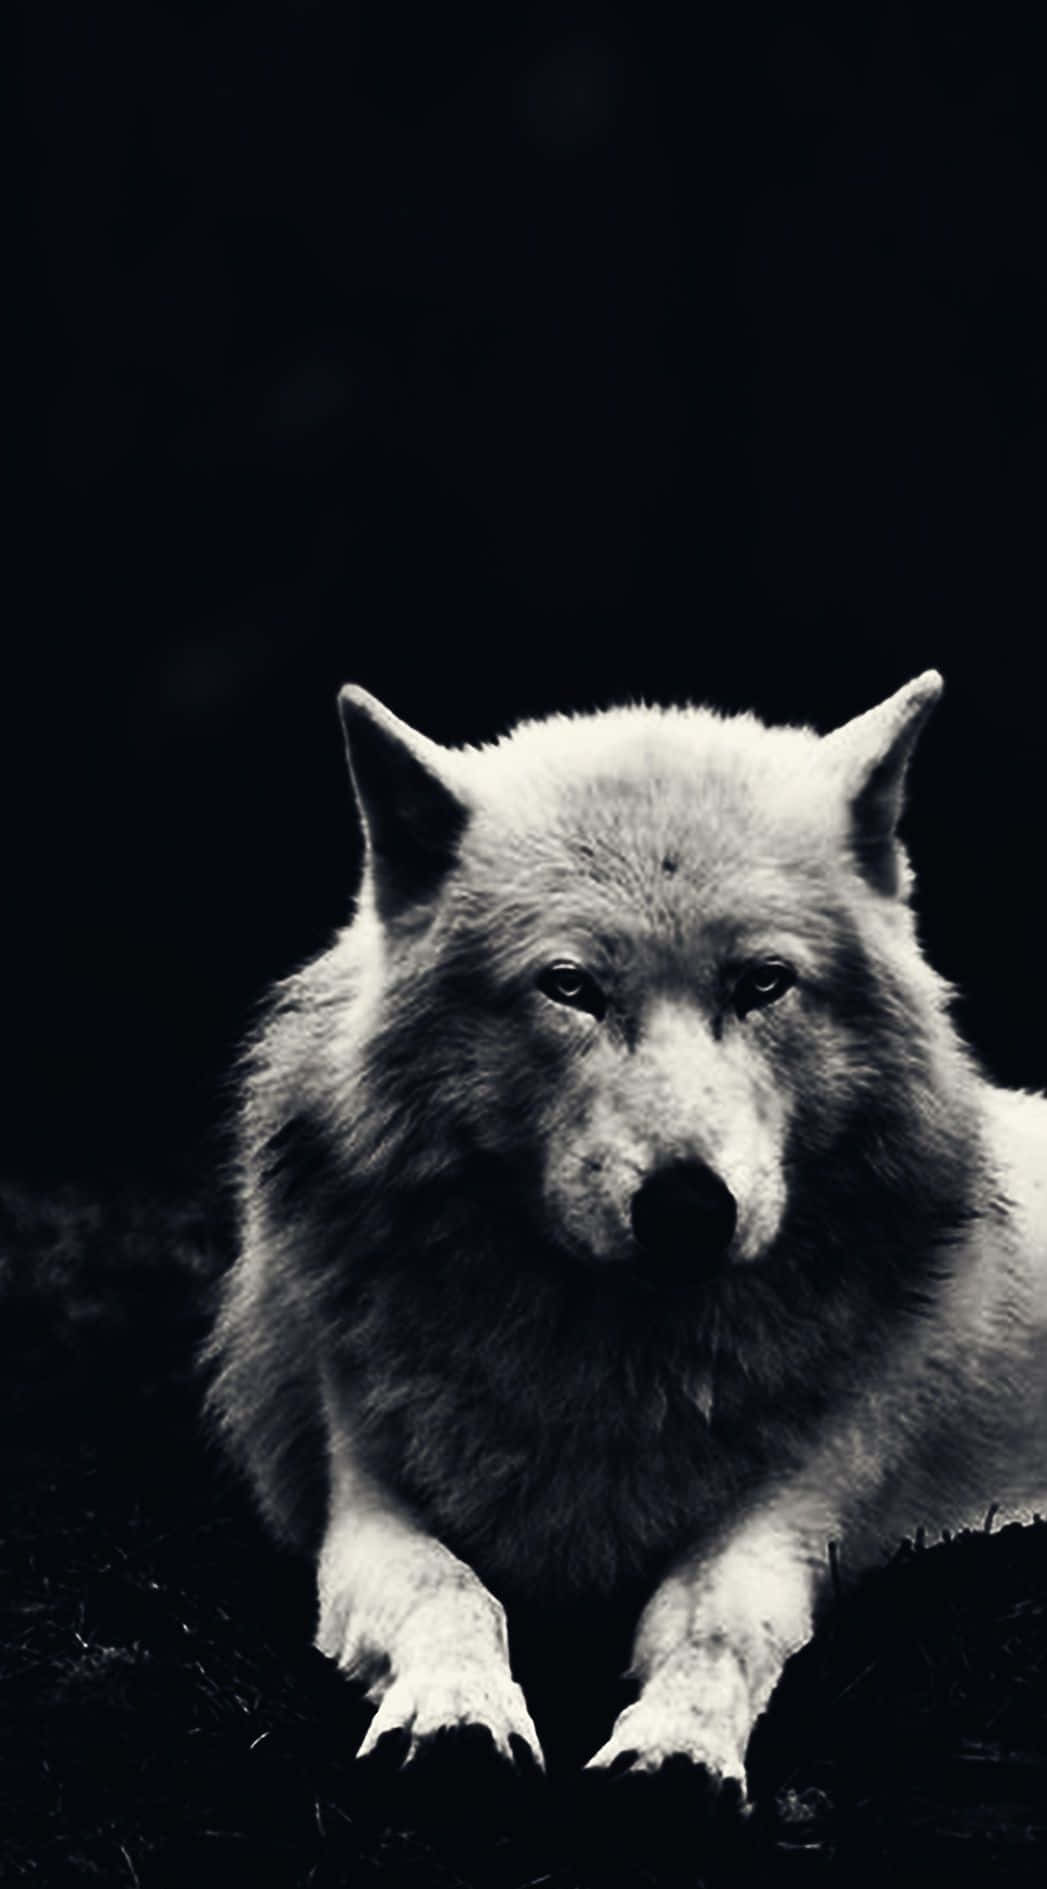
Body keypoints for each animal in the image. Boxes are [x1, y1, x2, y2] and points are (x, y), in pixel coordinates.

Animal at [206, 672, 1047, 1803]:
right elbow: (449, 1587)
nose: (689, 1206)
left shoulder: (801, 1501)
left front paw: (678, 1746)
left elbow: (719, 1620)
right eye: (570, 986)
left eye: (763, 982)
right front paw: (458, 1711)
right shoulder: (365, 1496)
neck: (614, 1365)